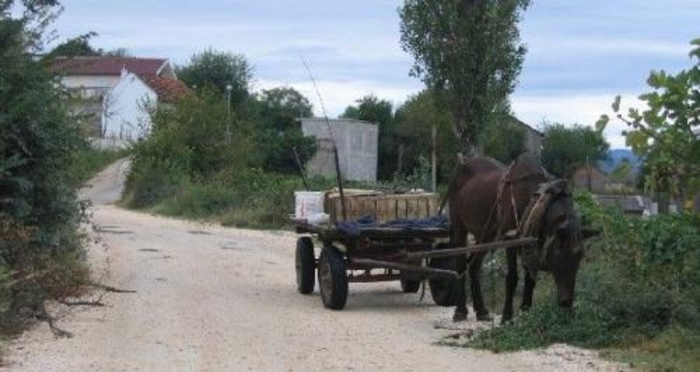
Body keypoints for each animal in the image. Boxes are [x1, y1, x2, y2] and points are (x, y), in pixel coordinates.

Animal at [446, 154, 588, 322]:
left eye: (579, 256)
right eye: (559, 255)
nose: (567, 301)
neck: (536, 198)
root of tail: (463, 164)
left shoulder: (535, 239)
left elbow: (530, 276)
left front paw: (526, 311)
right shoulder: (510, 239)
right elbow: (512, 278)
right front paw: (507, 316)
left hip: (486, 235)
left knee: (474, 265)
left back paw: (481, 310)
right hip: (459, 226)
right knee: (460, 264)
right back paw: (460, 311)